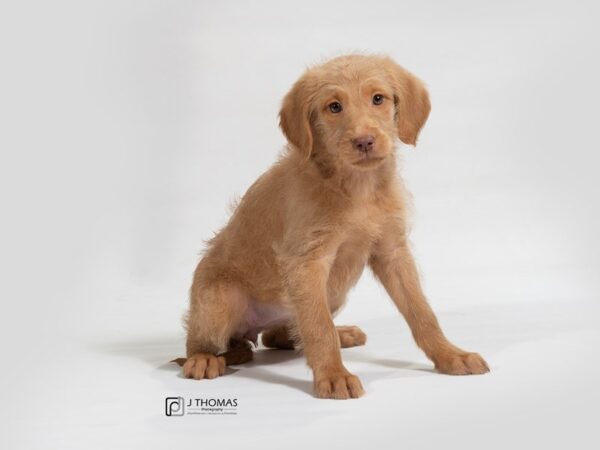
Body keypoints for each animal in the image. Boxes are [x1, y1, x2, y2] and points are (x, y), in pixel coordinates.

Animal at [177, 54, 488, 400]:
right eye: (334, 106)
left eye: (378, 98)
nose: (364, 141)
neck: (358, 188)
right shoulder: (307, 262)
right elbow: (318, 327)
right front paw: (334, 375)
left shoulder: (392, 251)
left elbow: (422, 312)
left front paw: (451, 355)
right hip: (220, 301)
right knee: (200, 343)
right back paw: (204, 360)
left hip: (334, 291)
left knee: (281, 335)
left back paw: (341, 333)